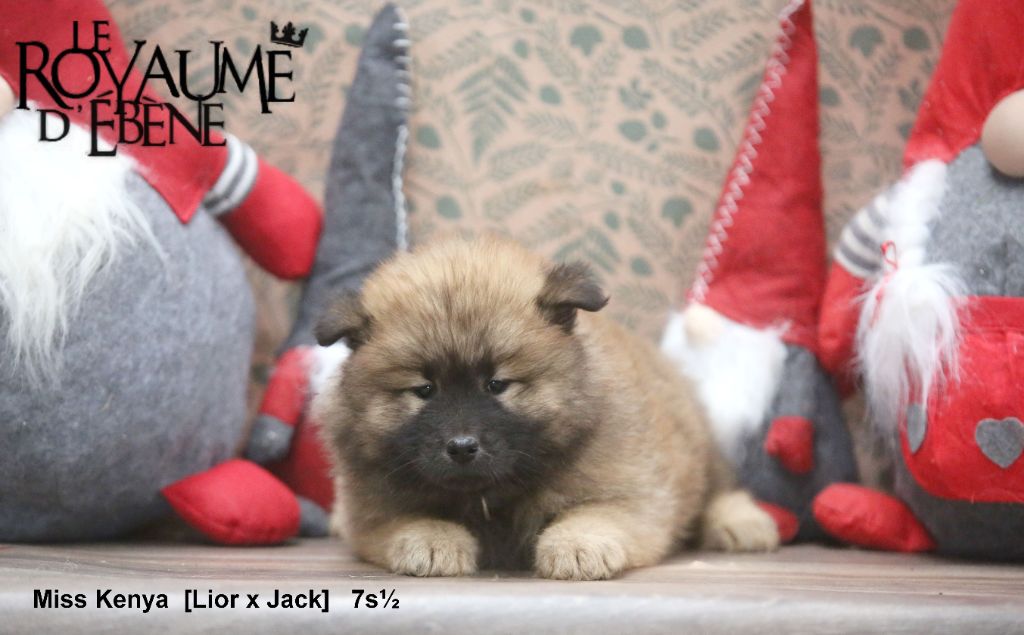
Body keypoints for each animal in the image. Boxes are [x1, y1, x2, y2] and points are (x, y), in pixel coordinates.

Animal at [313, 236, 778, 580]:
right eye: (424, 389)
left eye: (497, 384)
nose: (462, 447)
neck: (491, 494)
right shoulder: (373, 510)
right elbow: (410, 521)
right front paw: (433, 541)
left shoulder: (631, 495)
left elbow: (595, 517)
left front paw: (577, 548)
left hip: (699, 451)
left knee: (717, 490)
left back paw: (742, 523)